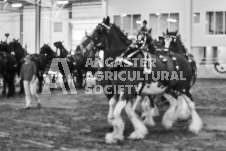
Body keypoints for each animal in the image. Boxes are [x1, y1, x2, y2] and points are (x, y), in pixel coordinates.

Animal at [87, 16, 202, 144]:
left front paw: (120, 133)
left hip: (183, 88)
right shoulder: (119, 90)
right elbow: (117, 110)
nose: (89, 47)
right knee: (174, 102)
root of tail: (183, 58)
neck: (125, 59)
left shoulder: (127, 91)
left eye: (100, 30)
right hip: (167, 89)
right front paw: (124, 132)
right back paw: (167, 121)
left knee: (190, 104)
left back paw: (194, 126)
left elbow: (118, 112)